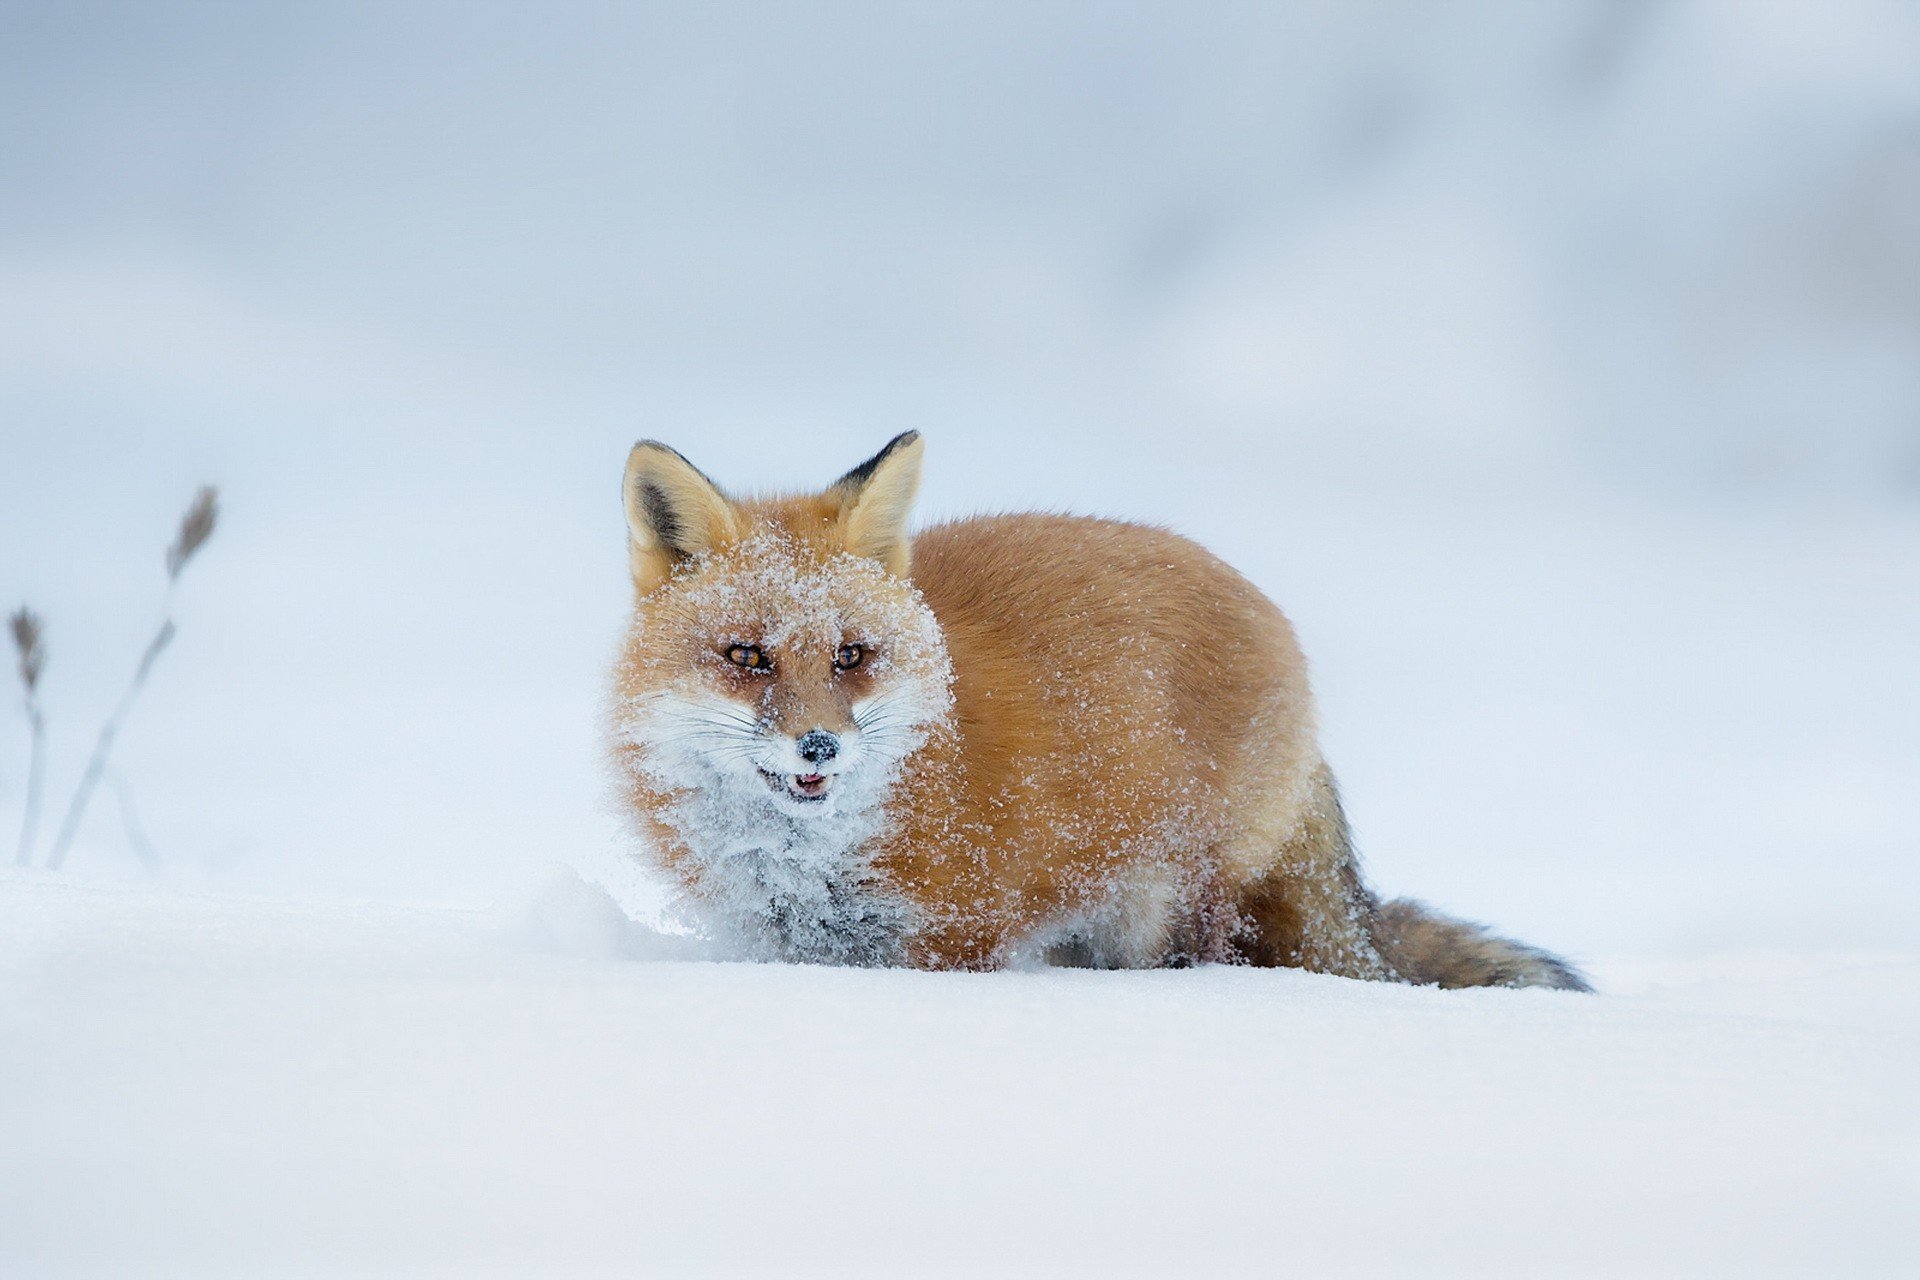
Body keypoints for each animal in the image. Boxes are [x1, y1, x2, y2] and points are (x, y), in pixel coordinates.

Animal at [610, 433, 1589, 990]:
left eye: (851, 656)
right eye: (748, 657)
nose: (820, 747)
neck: (806, 869)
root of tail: (1269, 614)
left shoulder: (955, 942)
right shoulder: (784, 950)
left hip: (1166, 912)